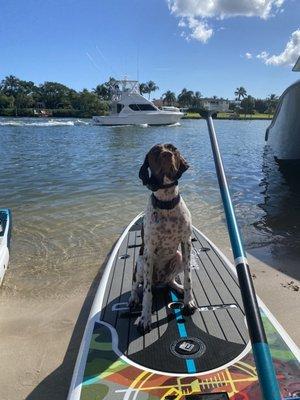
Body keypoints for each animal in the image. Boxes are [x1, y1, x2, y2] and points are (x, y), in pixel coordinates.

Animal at [128, 142, 197, 332]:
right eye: (155, 152)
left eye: (173, 149)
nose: (167, 155)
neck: (166, 202)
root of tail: (158, 281)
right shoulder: (149, 252)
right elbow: (147, 293)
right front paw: (145, 318)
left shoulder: (186, 243)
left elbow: (188, 277)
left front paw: (188, 301)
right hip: (141, 263)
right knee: (136, 285)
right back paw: (133, 298)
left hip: (178, 257)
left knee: (169, 281)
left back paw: (177, 287)